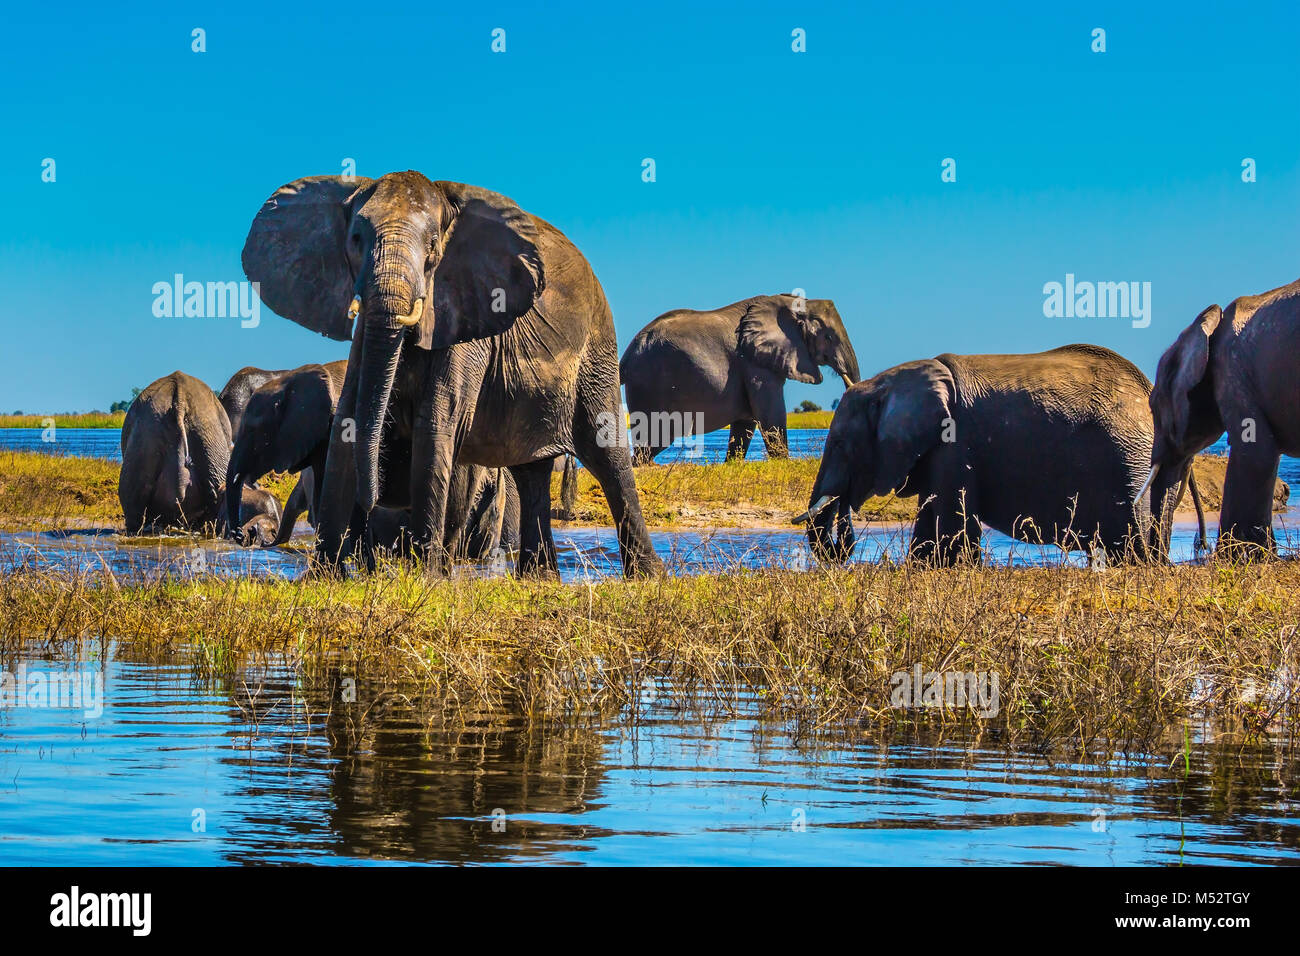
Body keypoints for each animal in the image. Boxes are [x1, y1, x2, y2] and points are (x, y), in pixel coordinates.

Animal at [241, 171, 660, 574]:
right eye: (357, 239)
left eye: (432, 247)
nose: (374, 499)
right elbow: (348, 420)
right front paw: (323, 578)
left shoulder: (468, 315)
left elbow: (436, 423)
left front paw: (426, 578)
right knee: (530, 472)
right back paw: (540, 578)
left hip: (597, 348)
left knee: (607, 456)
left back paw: (647, 576)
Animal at [795, 345, 1211, 564]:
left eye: (839, 444)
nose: (841, 541)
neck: (888, 383)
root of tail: (1148, 387)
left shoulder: (954, 444)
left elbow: (952, 528)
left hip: (1131, 460)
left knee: (1134, 545)